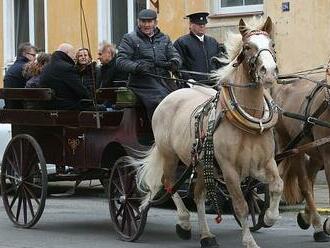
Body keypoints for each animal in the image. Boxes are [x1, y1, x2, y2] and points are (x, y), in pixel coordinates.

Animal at [137, 16, 284, 247]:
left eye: (272, 45)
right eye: (248, 47)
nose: (268, 72)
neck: (248, 122)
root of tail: (171, 95)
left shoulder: (265, 163)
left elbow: (278, 185)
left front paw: (269, 217)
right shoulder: (229, 169)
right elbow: (241, 205)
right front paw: (249, 240)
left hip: (202, 165)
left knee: (197, 196)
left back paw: (206, 235)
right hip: (170, 156)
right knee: (168, 184)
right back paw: (184, 222)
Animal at [272, 70, 330, 242]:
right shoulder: (328, 156)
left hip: (313, 150)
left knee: (309, 179)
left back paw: (306, 217)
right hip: (293, 147)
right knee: (303, 184)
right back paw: (317, 227)